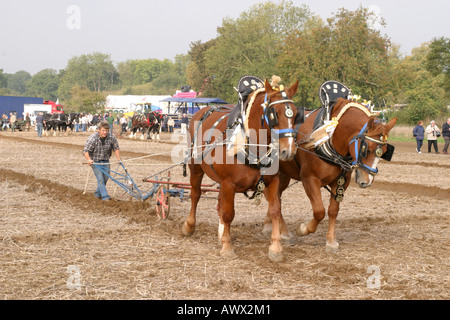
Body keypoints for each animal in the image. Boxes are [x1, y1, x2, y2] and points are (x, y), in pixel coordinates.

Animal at [181, 78, 300, 262]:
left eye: (295, 114)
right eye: (274, 114)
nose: (289, 151)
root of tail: (205, 109)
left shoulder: (273, 181)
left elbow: (275, 210)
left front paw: (276, 247)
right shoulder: (229, 183)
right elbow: (229, 213)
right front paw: (227, 247)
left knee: (219, 200)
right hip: (196, 168)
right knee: (195, 194)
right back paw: (189, 226)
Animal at [266, 95, 400, 252]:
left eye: (384, 152)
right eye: (367, 149)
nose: (367, 181)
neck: (329, 137)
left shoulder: (341, 182)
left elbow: (333, 210)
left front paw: (330, 241)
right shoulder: (309, 179)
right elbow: (319, 211)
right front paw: (304, 229)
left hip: (284, 174)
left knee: (276, 198)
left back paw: (274, 227)